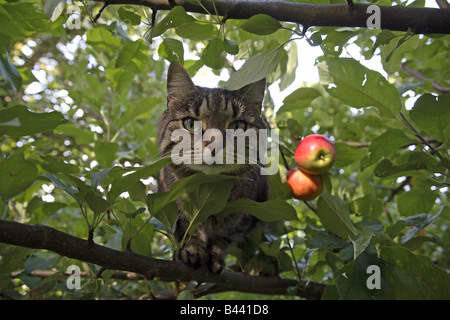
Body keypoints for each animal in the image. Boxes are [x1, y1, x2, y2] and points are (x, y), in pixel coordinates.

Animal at [157, 61, 268, 274]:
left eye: (238, 126)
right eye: (190, 123)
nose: (214, 144)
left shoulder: (243, 216)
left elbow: (224, 238)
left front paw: (215, 256)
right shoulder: (176, 208)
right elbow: (188, 230)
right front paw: (193, 249)